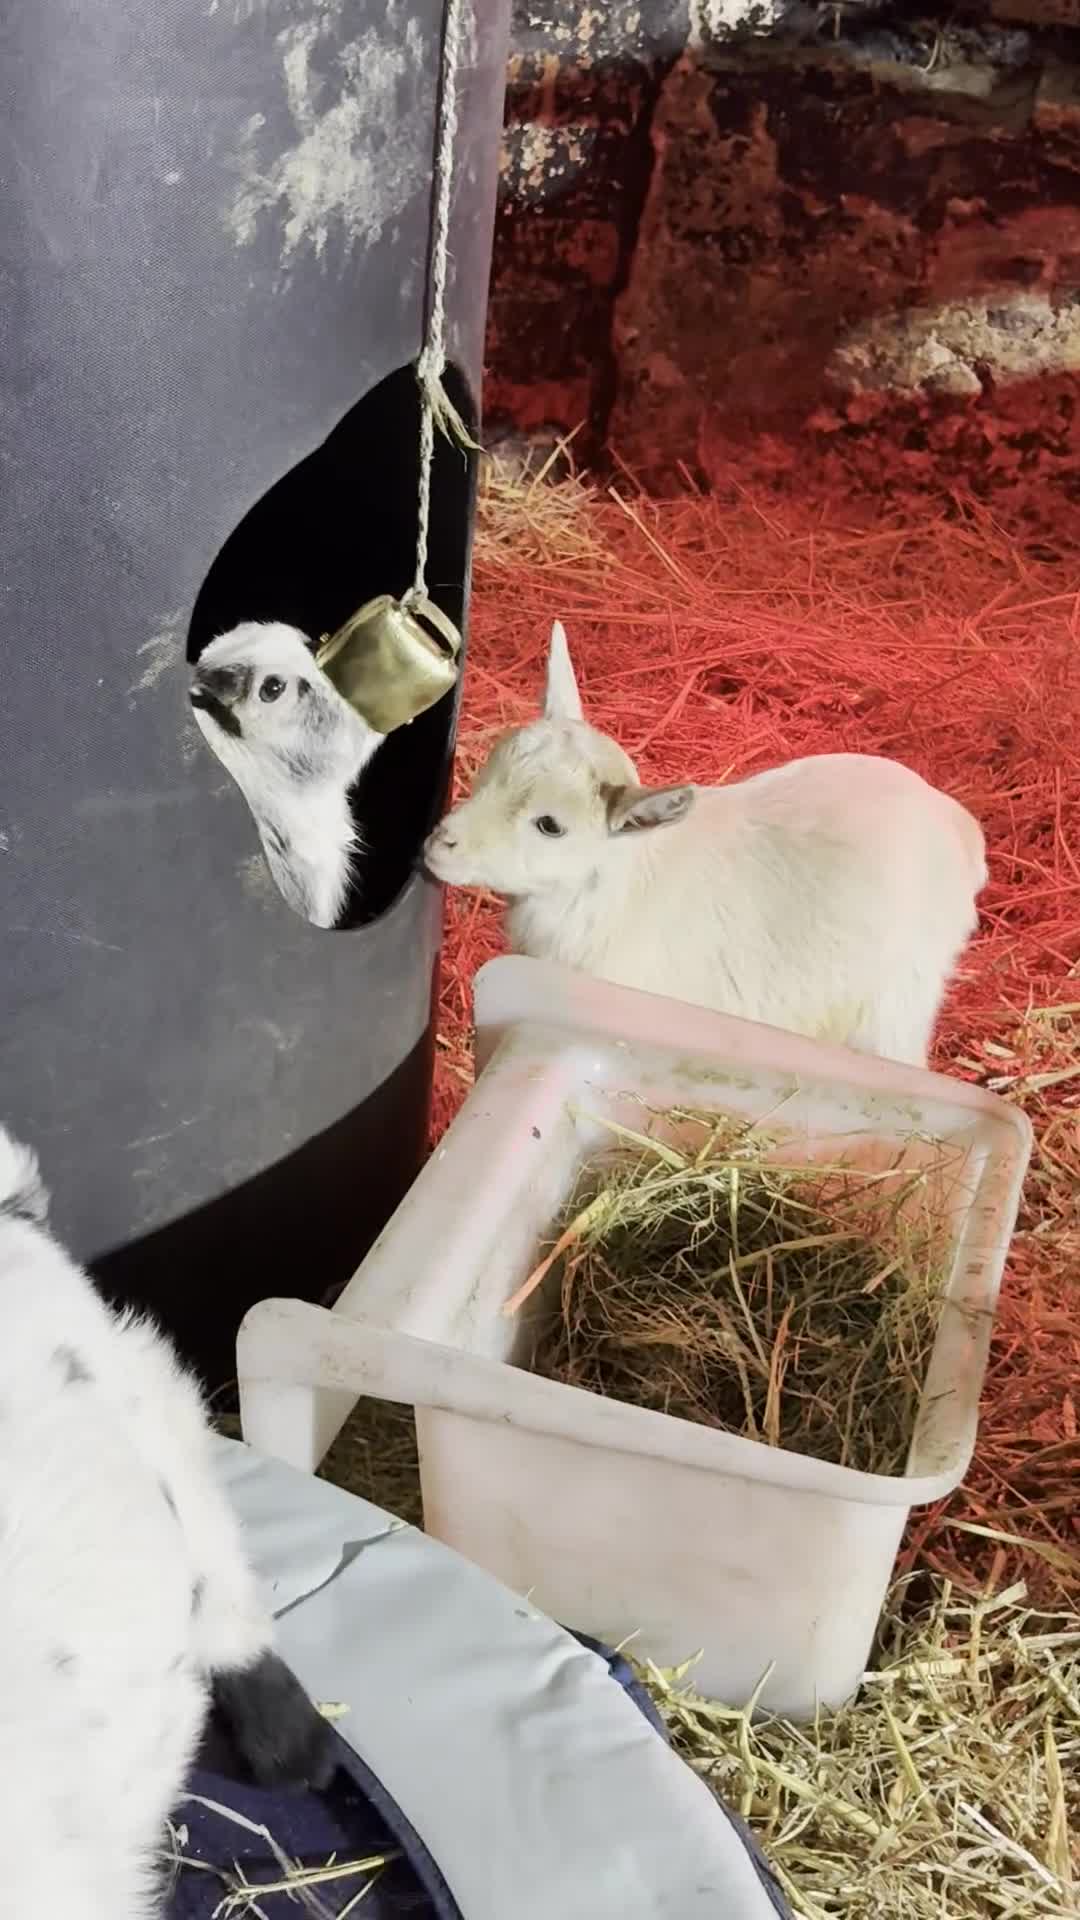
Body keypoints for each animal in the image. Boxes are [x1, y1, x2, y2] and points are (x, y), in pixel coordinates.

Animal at [424, 621, 986, 1068]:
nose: (440, 844)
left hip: (897, 1001)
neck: (608, 894)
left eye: (550, 825)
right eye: (487, 771)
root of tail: (958, 825)